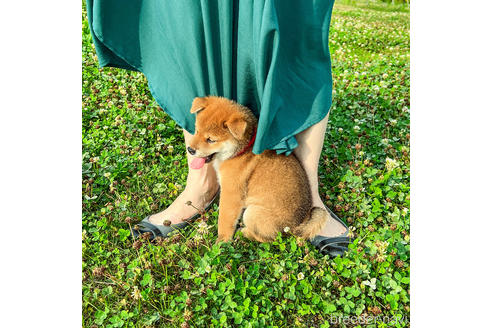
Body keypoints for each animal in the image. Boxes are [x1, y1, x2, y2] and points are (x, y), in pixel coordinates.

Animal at [186, 96, 328, 242]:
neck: (242, 149)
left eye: (211, 140)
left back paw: (243, 233)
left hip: (252, 213)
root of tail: (295, 226)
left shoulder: (231, 194)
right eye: (196, 131)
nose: (190, 150)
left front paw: (221, 242)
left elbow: (224, 221)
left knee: (268, 238)